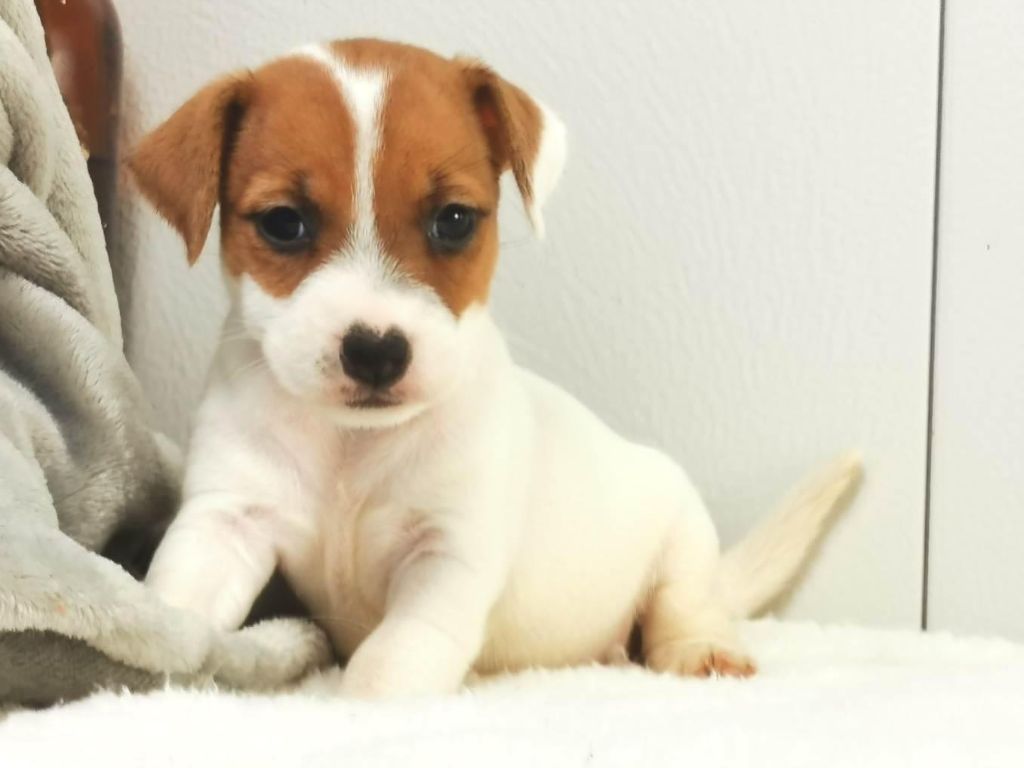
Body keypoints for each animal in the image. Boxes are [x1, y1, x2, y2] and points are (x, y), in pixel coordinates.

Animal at [130, 38, 861, 698]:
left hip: (681, 542)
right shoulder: (225, 522)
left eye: (453, 220)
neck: (352, 449)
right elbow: (178, 602)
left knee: (685, 605)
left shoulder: (449, 555)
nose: (376, 350)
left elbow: (391, 662)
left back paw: (699, 648)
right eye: (284, 223)